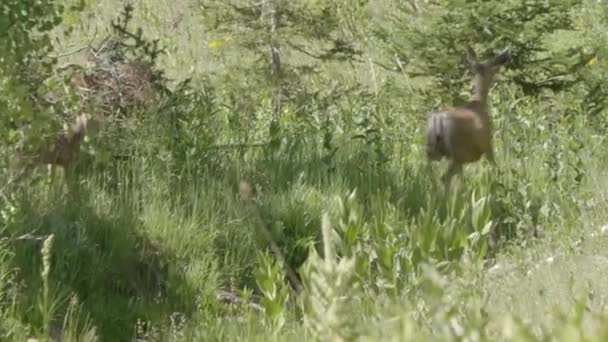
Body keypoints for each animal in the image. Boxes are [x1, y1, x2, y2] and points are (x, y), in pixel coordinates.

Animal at [426, 44, 510, 191]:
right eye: (492, 70)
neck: (479, 104)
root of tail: (439, 119)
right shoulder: (488, 145)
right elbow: (494, 167)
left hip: (431, 150)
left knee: (429, 175)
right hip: (457, 153)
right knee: (444, 178)